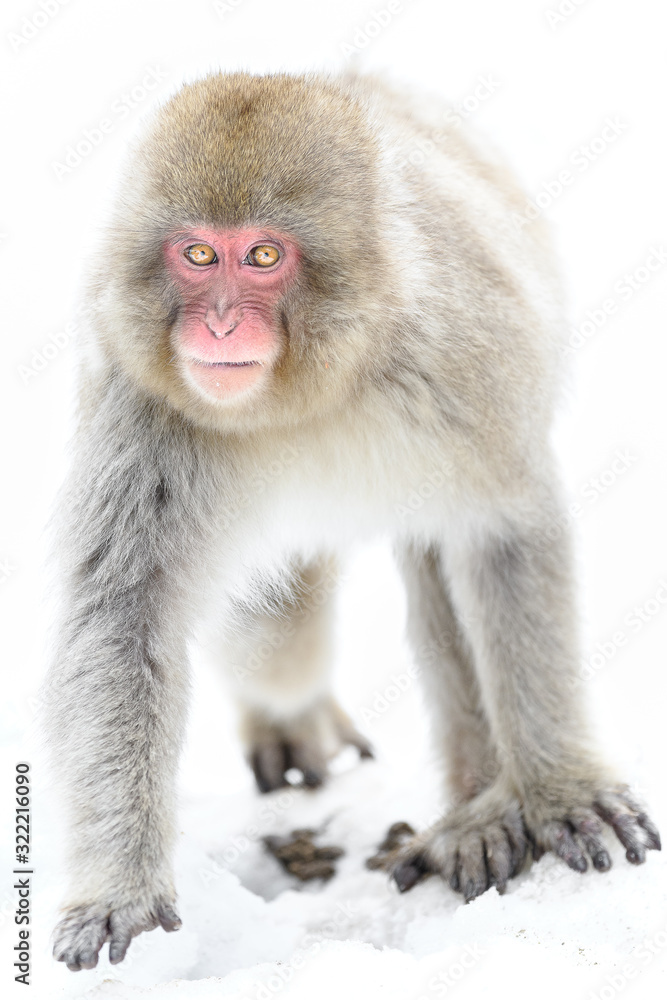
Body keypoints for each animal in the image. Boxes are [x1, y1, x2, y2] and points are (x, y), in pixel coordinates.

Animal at [43, 71, 660, 972]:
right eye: (198, 254)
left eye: (264, 256)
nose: (217, 324)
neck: (316, 383)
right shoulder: (142, 396)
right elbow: (124, 619)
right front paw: (118, 895)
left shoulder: (463, 354)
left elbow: (503, 530)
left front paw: (559, 790)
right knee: (277, 644)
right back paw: (304, 725)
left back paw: (481, 810)